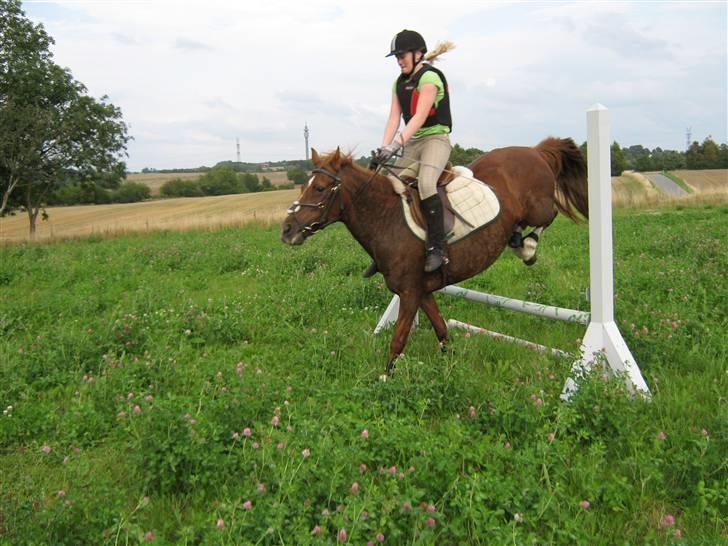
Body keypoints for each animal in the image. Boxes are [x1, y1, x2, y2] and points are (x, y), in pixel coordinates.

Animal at [282, 136, 588, 374]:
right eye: (303, 186)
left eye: (319, 188)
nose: (287, 230)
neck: (387, 218)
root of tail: (535, 150)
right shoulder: (423, 291)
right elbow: (441, 330)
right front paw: (450, 366)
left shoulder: (409, 293)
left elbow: (398, 340)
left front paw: (384, 379)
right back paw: (515, 238)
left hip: (538, 207)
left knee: (550, 215)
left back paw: (528, 247)